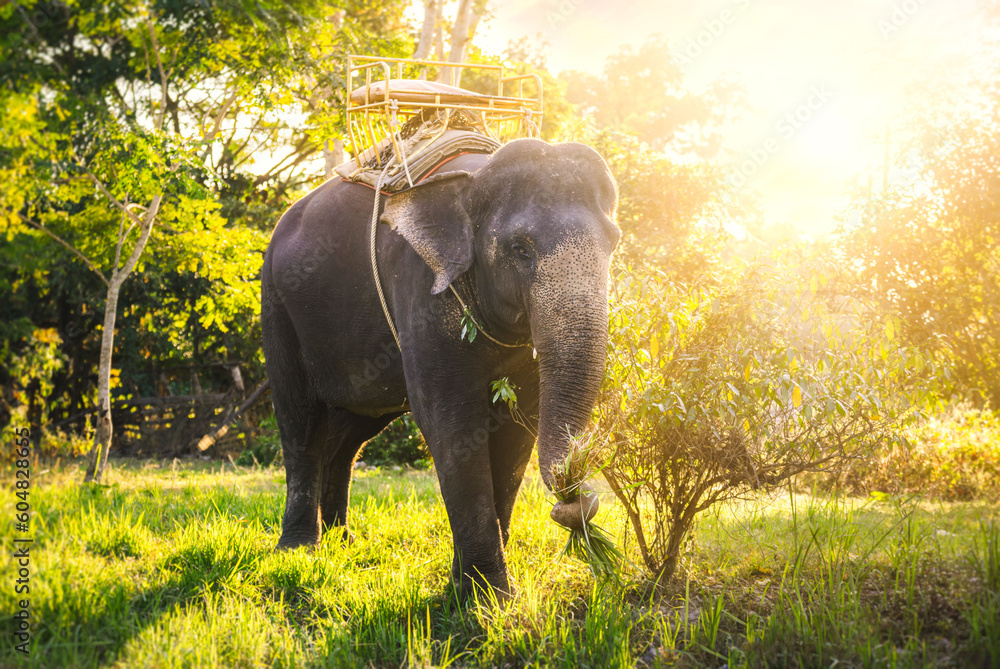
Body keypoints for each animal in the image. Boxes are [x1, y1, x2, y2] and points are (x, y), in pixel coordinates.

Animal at [261, 138, 619, 599]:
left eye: (614, 243)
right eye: (521, 249)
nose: (576, 500)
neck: (474, 179)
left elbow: (520, 423)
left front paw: (478, 587)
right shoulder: (419, 285)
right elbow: (449, 417)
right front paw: (485, 597)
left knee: (351, 429)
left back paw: (344, 541)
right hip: (277, 304)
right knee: (300, 418)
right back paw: (299, 550)